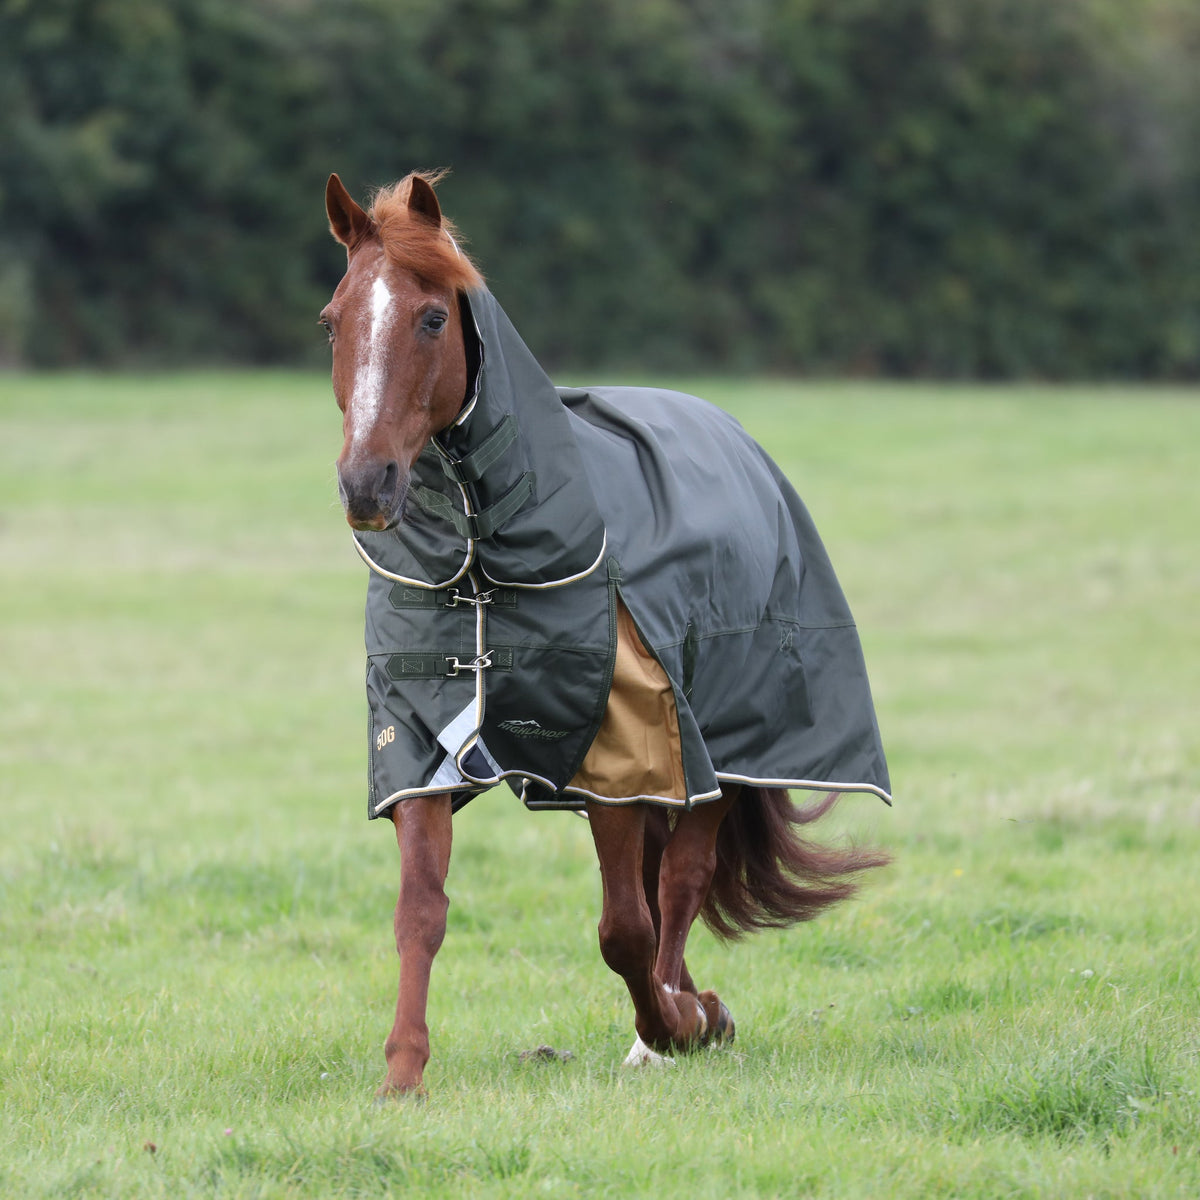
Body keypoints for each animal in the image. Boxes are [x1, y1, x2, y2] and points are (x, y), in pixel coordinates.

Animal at [320, 171, 891, 1098]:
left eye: (432, 318)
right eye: (333, 321)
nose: (367, 484)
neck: (485, 566)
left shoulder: (620, 753)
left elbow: (624, 926)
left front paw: (679, 1024)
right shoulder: (420, 741)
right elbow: (421, 910)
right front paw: (403, 1073)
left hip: (713, 751)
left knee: (681, 881)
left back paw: (674, 1023)